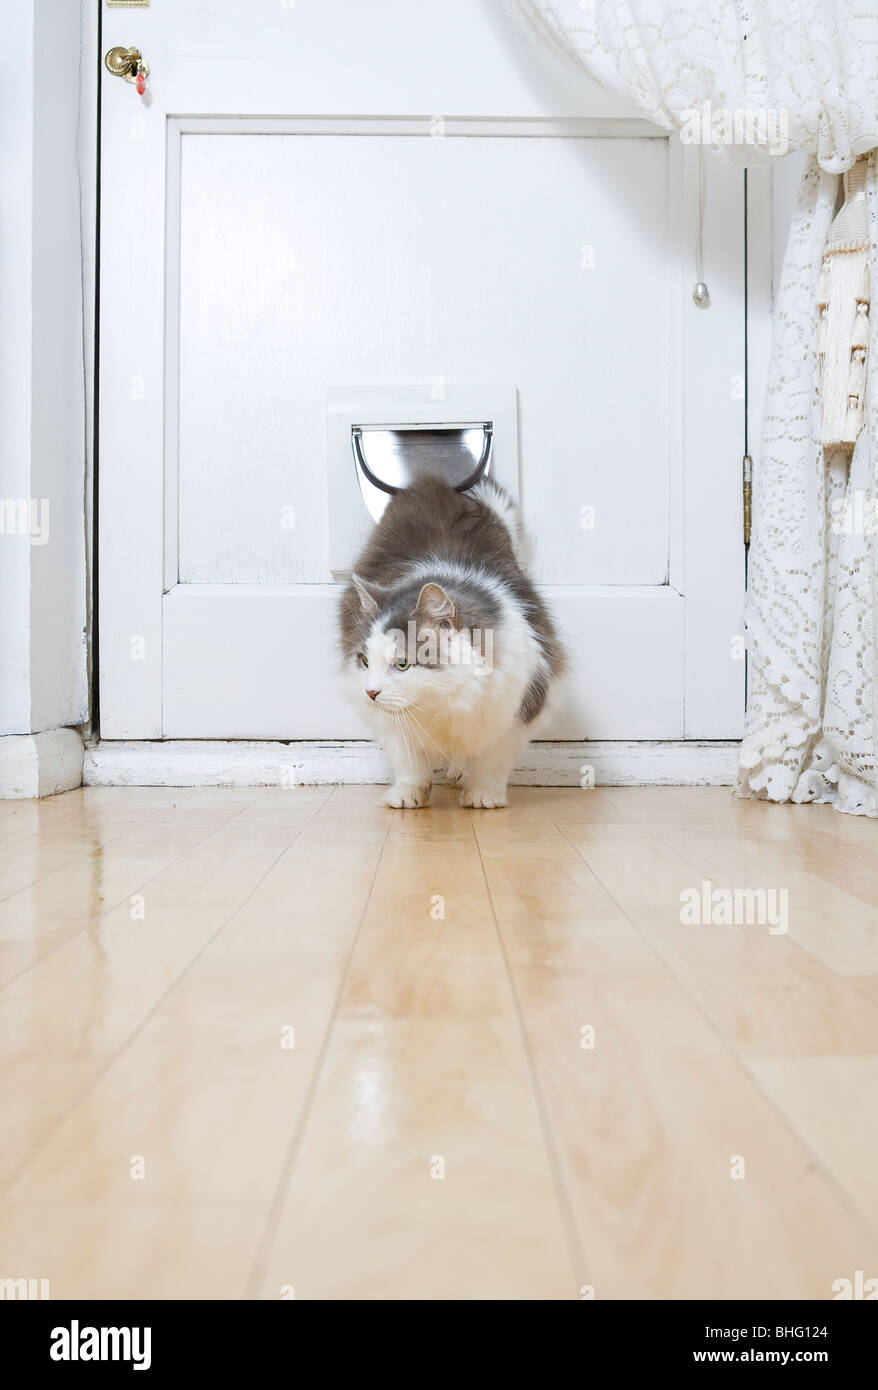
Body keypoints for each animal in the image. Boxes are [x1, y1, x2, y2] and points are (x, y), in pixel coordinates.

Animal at [338, 475, 566, 811]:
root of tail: (437, 482)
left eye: (402, 664)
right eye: (365, 661)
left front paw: (483, 796)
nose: (371, 692)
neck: (441, 703)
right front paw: (407, 796)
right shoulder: (393, 726)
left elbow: (492, 763)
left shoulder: (517, 711)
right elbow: (409, 764)